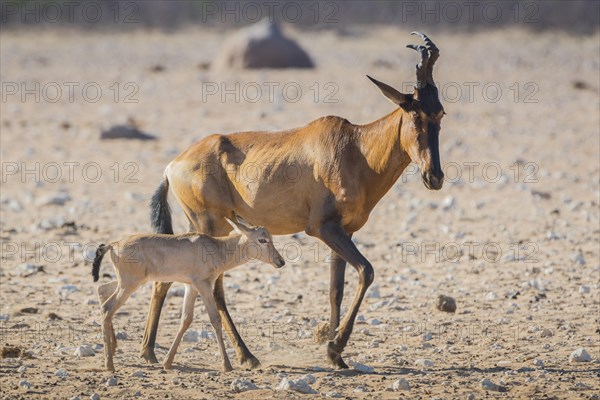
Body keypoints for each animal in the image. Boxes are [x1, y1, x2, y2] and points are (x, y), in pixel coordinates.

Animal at [91, 216, 284, 372]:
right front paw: (227, 366)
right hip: (129, 284)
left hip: (126, 283)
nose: (280, 261)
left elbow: (186, 319)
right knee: (108, 308)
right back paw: (109, 365)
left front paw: (167, 363)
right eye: (262, 239)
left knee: (102, 291)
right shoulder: (203, 285)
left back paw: (113, 350)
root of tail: (114, 245)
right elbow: (215, 319)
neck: (217, 247)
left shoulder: (190, 287)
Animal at [142, 31, 446, 368]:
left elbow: (336, 289)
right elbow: (367, 271)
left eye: (440, 112)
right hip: (209, 224)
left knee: (167, 277)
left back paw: (150, 351)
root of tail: (172, 166)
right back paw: (246, 355)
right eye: (415, 113)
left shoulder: (345, 231)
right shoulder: (322, 228)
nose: (434, 176)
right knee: (215, 287)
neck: (354, 148)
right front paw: (335, 347)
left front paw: (335, 356)